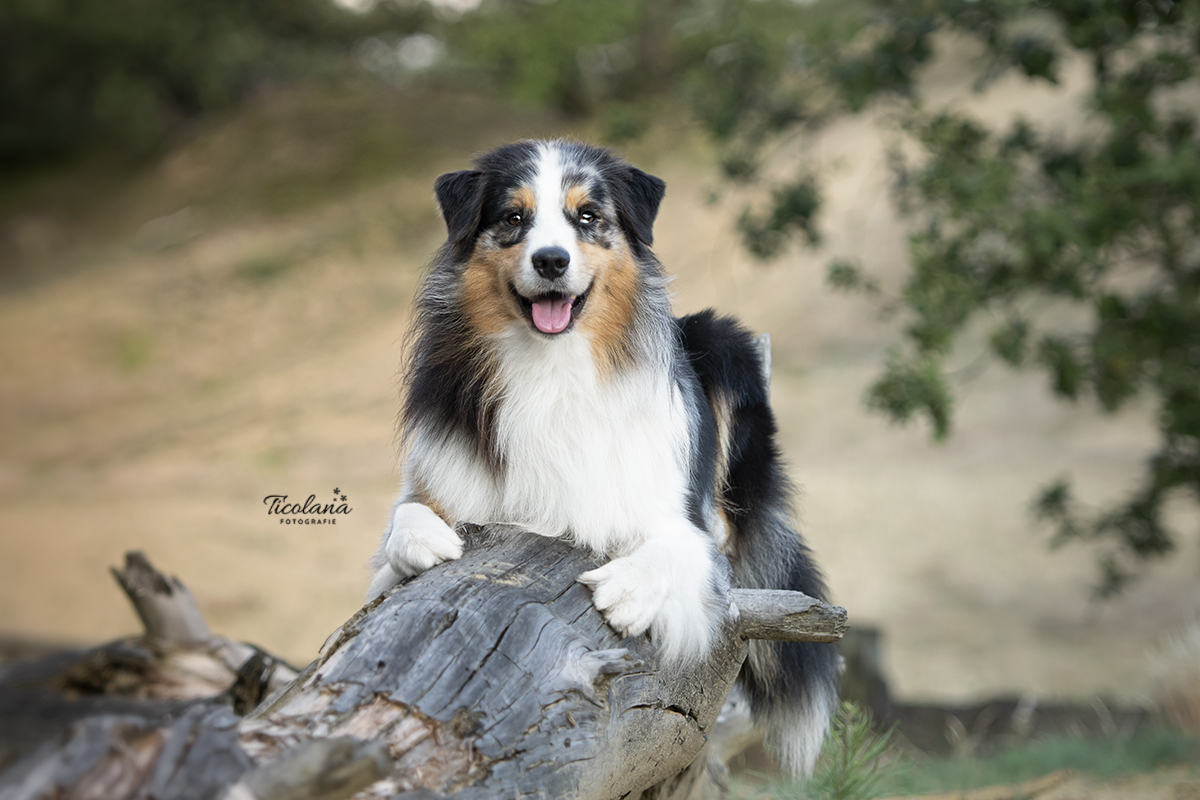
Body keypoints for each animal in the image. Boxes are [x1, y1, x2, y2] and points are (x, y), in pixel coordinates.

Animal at [369, 137, 840, 777]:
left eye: (587, 217)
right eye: (513, 218)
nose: (550, 261)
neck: (553, 367)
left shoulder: (674, 516)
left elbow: (680, 544)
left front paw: (628, 589)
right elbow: (406, 517)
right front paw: (423, 537)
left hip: (719, 340)